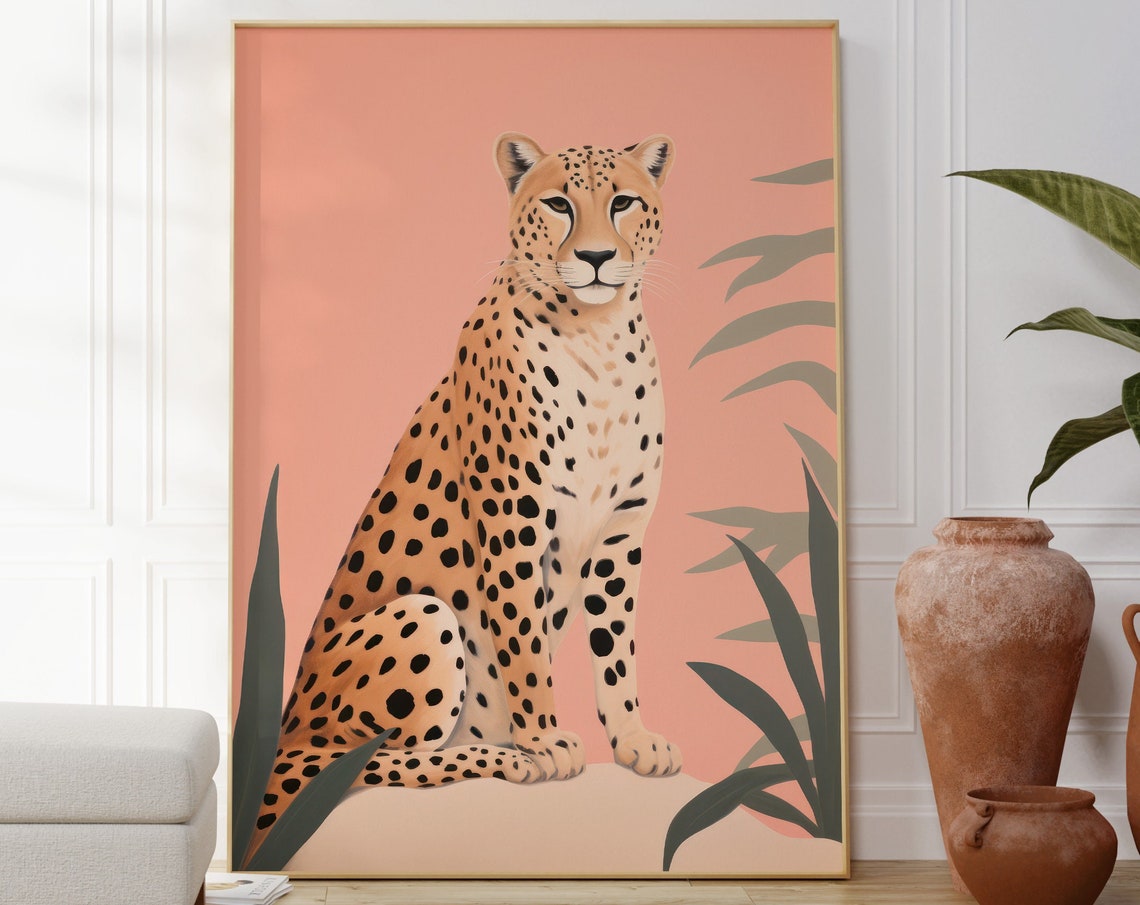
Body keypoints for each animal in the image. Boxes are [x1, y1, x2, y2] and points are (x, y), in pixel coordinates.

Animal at [244, 132, 682, 865]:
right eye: (558, 203)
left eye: (622, 201)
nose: (596, 258)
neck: (598, 335)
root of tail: (282, 737)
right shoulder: (515, 522)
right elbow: (524, 643)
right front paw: (543, 739)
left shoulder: (620, 536)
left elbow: (617, 649)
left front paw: (633, 740)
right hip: (419, 618)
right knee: (360, 763)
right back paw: (503, 756)